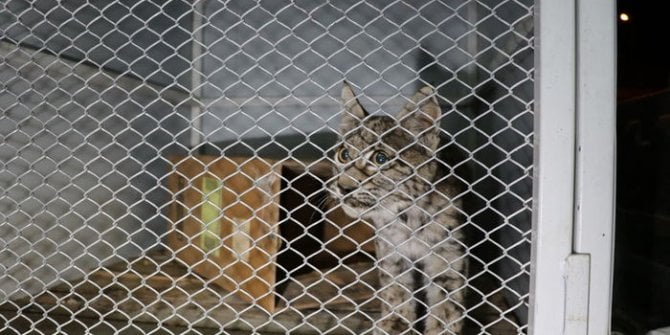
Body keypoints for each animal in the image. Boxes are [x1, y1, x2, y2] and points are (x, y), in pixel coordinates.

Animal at [330, 82, 468, 335]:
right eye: (344, 154)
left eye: (380, 159)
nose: (343, 188)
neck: (408, 216)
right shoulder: (391, 252)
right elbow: (396, 290)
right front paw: (395, 324)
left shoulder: (448, 254)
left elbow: (447, 303)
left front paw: (441, 329)